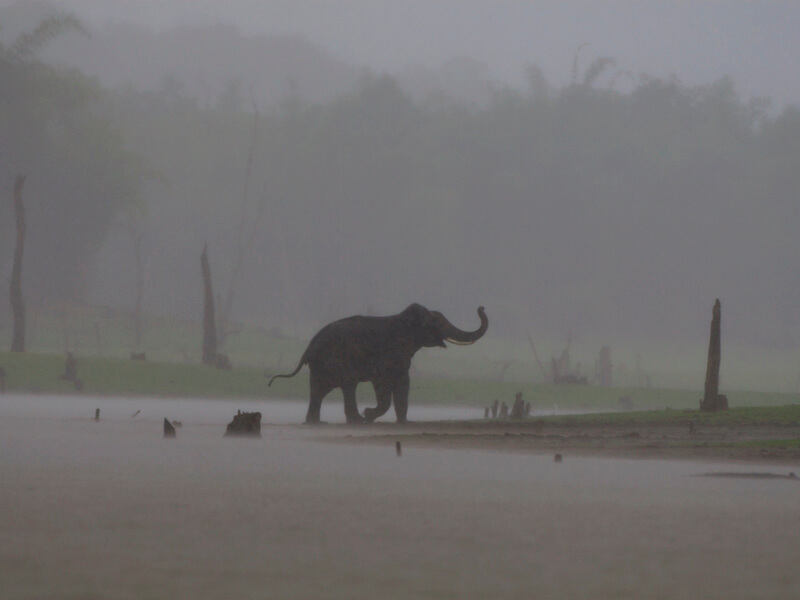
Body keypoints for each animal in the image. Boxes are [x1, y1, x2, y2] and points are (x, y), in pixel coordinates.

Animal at [268, 304, 488, 426]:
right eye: (436, 324)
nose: (481, 308)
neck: (402, 319)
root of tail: (311, 344)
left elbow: (403, 383)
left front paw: (403, 422)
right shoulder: (387, 354)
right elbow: (382, 383)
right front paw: (369, 415)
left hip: (321, 364)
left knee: (319, 390)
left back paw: (317, 423)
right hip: (335, 359)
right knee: (347, 386)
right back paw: (356, 421)